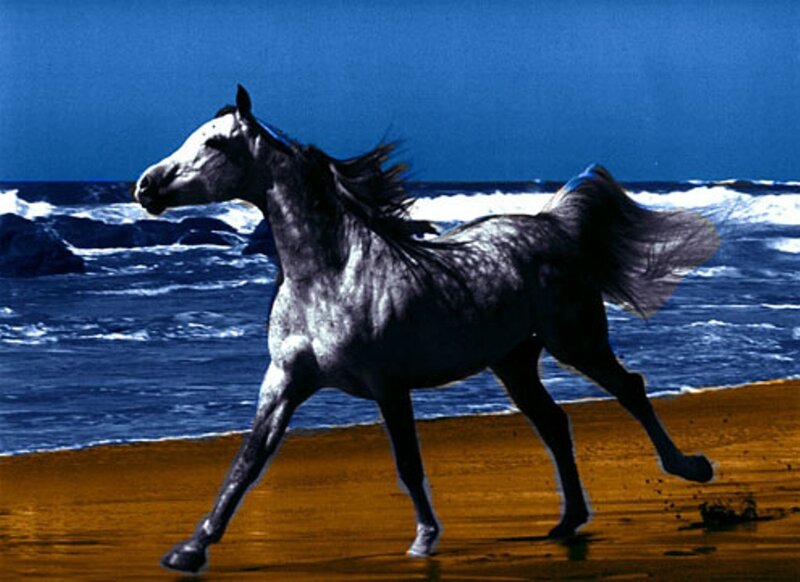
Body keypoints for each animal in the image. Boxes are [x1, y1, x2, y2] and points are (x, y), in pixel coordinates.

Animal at [134, 85, 719, 573]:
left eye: (214, 142)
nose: (145, 186)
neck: (328, 276)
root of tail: (552, 224)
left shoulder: (387, 384)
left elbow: (408, 463)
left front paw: (424, 540)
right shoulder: (283, 382)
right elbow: (247, 462)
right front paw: (190, 549)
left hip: (576, 340)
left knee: (629, 389)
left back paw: (690, 468)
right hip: (514, 361)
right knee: (554, 423)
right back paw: (567, 521)